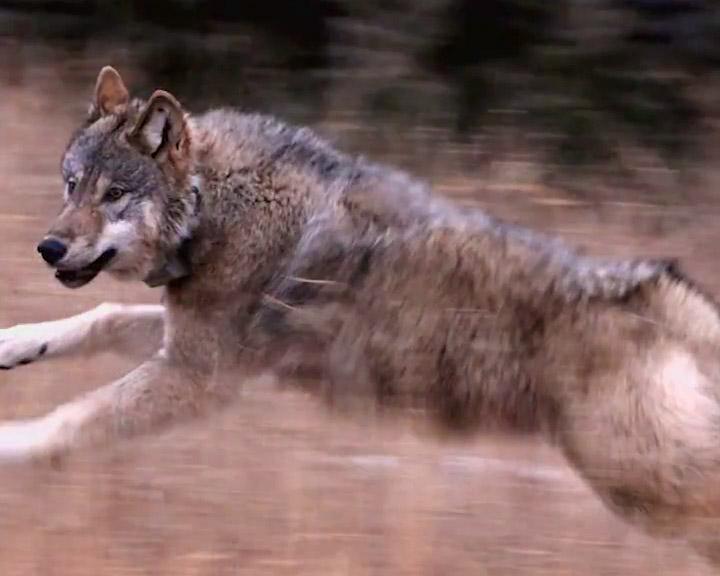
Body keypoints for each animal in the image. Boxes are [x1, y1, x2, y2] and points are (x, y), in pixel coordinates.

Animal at [1, 68, 720, 568]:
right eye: (72, 185)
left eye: (115, 194)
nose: (48, 248)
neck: (214, 205)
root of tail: (648, 288)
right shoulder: (190, 346)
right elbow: (99, 316)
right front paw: (14, 343)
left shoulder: (198, 378)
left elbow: (71, 420)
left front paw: (10, 443)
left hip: (641, 481)